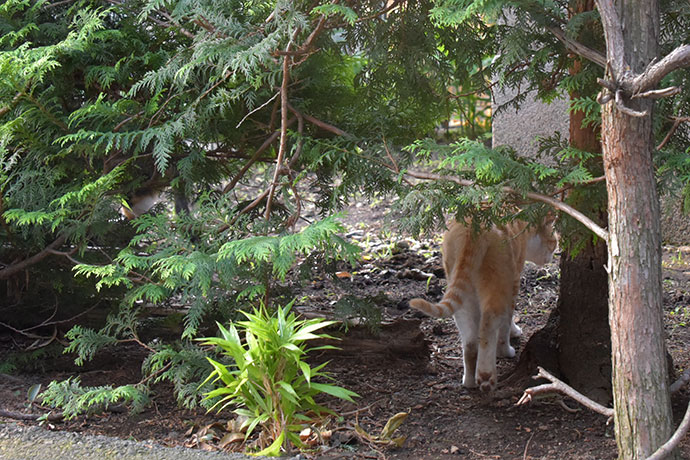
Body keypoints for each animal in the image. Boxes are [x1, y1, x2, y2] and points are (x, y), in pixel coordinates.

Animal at [408, 216, 552, 392]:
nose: (556, 250)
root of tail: (471, 229)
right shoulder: (513, 283)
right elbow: (507, 321)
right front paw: (510, 340)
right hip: (496, 283)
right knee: (489, 325)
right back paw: (486, 375)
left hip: (462, 292)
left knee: (470, 342)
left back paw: (469, 380)